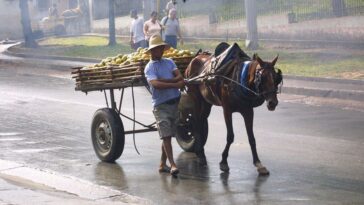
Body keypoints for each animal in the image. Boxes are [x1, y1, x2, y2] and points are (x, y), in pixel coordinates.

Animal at [181, 42, 282, 175]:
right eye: (262, 77)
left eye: (276, 78)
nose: (272, 103)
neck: (240, 79)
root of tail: (196, 57)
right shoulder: (227, 110)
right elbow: (230, 136)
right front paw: (224, 162)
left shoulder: (248, 111)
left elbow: (252, 138)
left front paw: (258, 163)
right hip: (196, 97)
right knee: (196, 123)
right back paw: (201, 154)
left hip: (207, 102)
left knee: (202, 120)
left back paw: (199, 150)